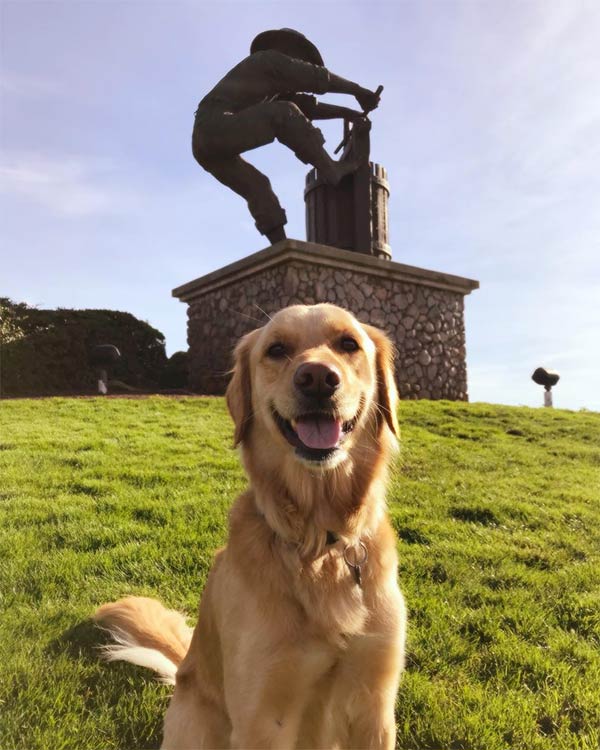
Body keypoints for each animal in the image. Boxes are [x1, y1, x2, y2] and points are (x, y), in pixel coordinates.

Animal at [95, 302, 408, 748]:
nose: (317, 378)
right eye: (277, 349)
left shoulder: (375, 708)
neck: (318, 544)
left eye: (348, 344)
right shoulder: (262, 715)